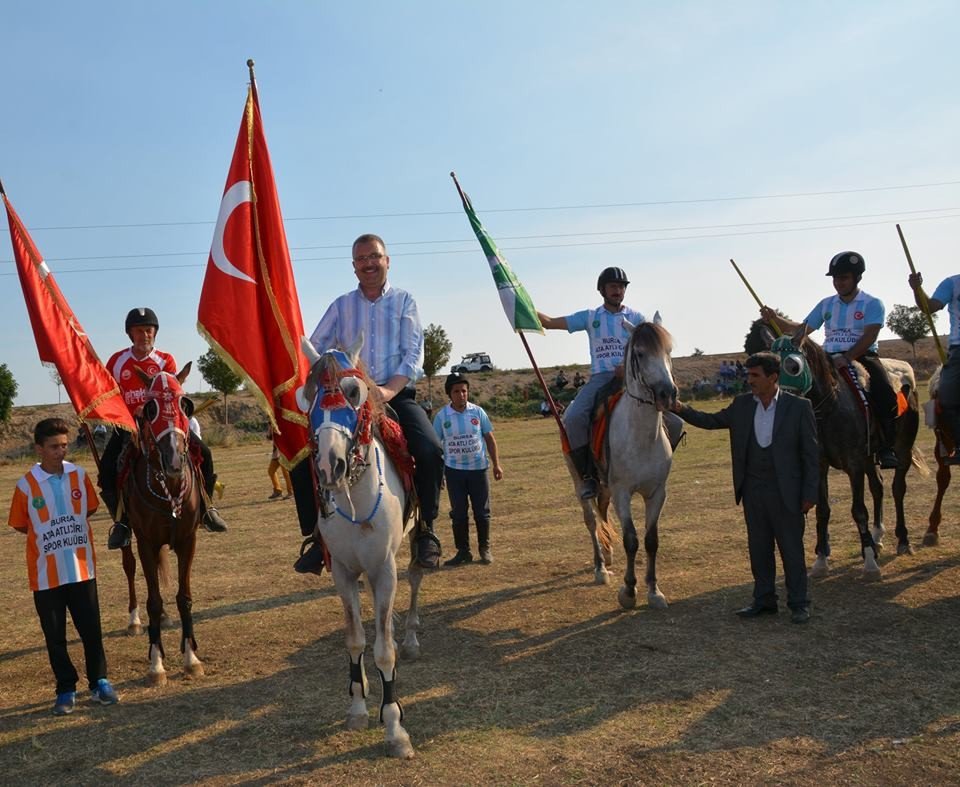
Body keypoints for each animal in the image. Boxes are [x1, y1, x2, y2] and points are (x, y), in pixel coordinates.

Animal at [298, 338, 422, 756]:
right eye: (307, 395)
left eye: (354, 392)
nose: (329, 466)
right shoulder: (342, 570)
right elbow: (355, 640)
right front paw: (357, 707)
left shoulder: (384, 568)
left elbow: (384, 648)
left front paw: (395, 727)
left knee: (415, 578)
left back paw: (411, 636)